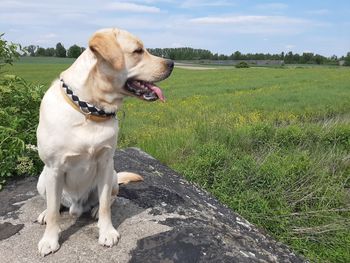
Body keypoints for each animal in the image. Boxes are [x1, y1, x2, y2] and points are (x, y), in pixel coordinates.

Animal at [35, 27, 174, 256]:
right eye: (138, 51)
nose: (171, 63)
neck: (90, 109)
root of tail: (77, 207)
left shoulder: (106, 163)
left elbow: (105, 205)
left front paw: (106, 231)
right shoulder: (54, 169)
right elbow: (55, 211)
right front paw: (49, 239)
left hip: (114, 174)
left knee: (109, 198)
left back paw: (93, 212)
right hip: (42, 179)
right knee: (54, 204)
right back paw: (46, 213)